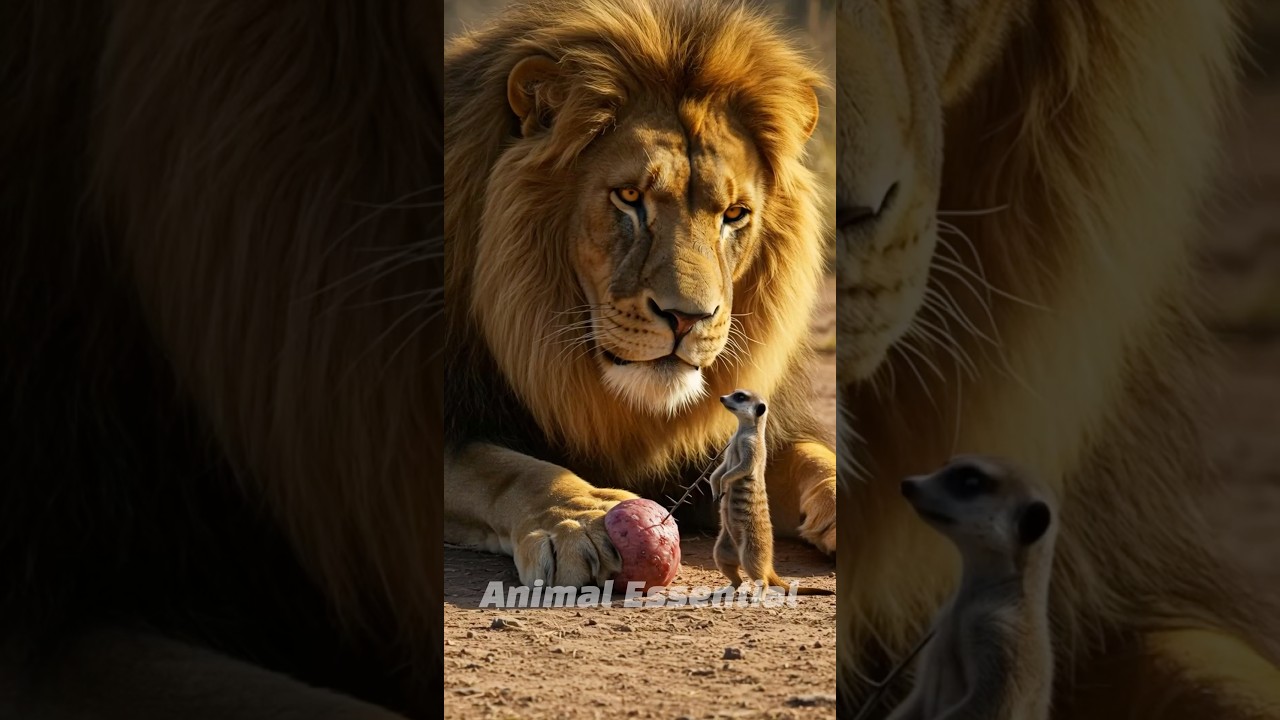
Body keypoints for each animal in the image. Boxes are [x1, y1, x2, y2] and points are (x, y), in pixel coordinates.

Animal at [443, 0, 838, 588]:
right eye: (629, 197)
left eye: (734, 214)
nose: (688, 318)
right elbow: (502, 469)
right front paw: (582, 518)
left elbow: (810, 454)